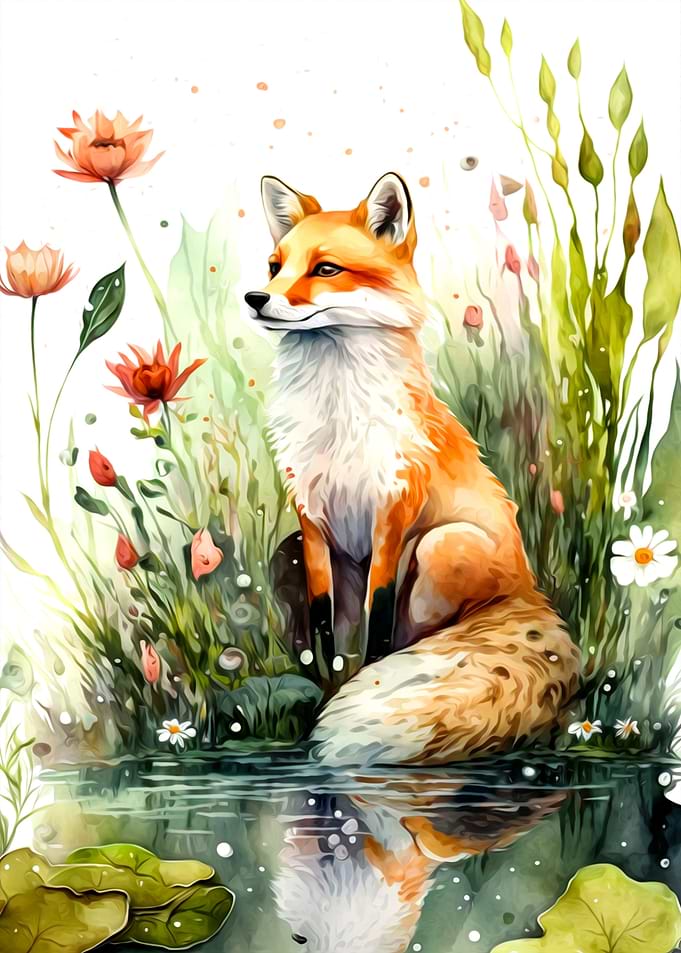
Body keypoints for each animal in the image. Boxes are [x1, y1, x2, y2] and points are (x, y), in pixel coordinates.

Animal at [245, 171, 580, 766]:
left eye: (325, 269)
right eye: (274, 265)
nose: (255, 298)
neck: (337, 413)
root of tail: (533, 594)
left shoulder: (392, 516)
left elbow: (377, 631)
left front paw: (353, 694)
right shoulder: (310, 521)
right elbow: (326, 634)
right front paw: (327, 695)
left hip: (438, 546)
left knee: (414, 638)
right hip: (287, 552)